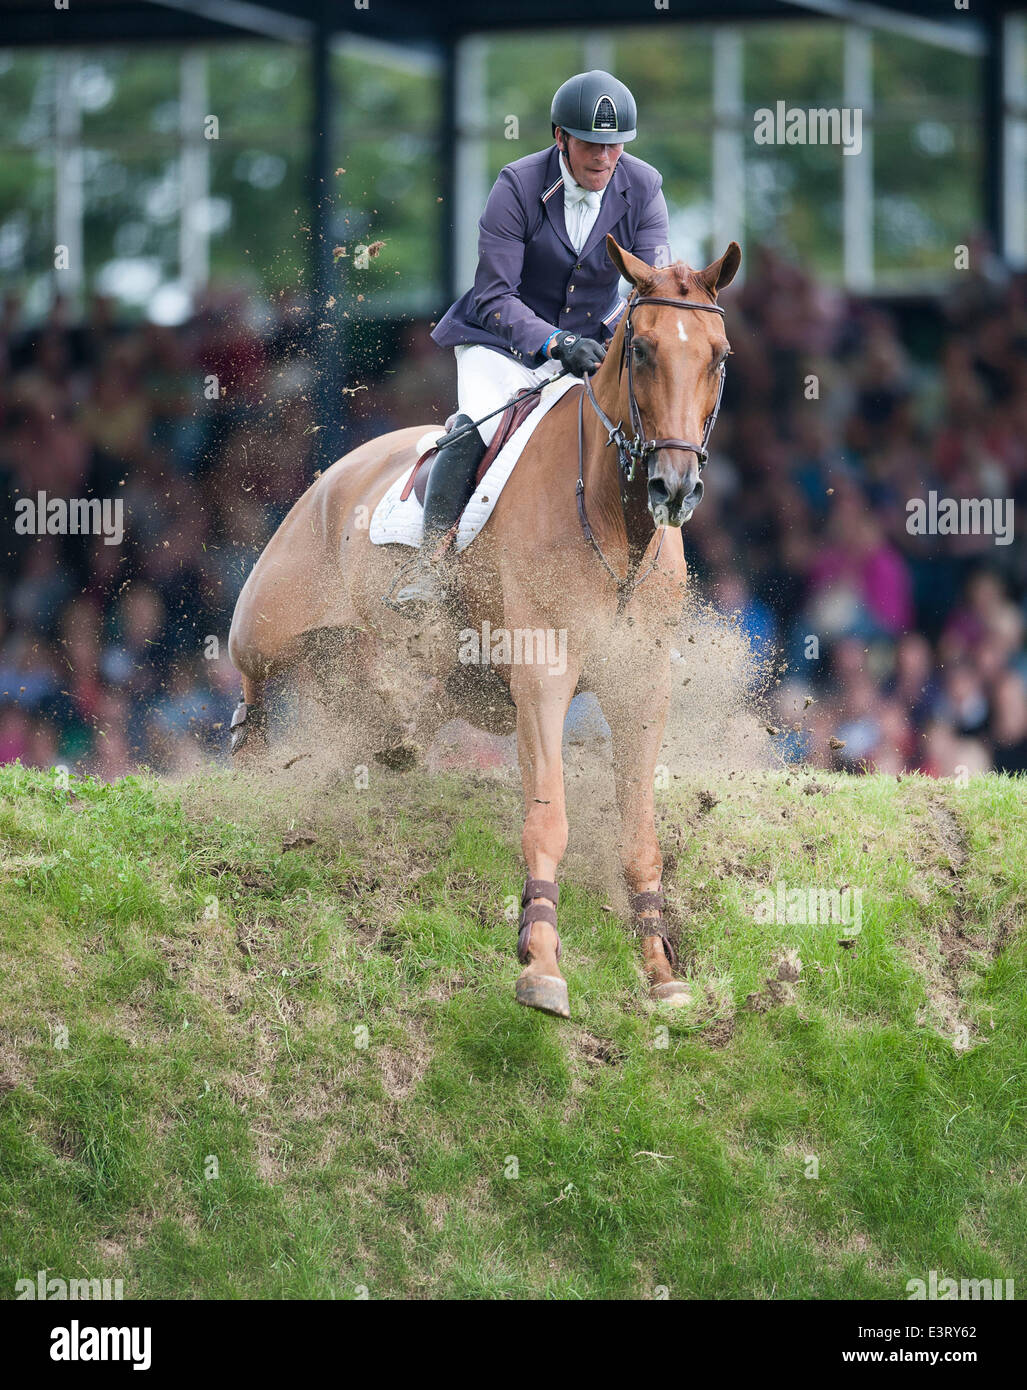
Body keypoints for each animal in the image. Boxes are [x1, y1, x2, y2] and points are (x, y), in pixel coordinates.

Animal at [227, 236, 739, 1023]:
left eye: (717, 356)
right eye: (642, 349)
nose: (674, 487)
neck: (615, 522)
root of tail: (339, 468)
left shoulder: (641, 685)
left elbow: (640, 837)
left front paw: (660, 973)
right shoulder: (543, 676)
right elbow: (547, 820)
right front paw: (540, 965)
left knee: (381, 706)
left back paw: (391, 739)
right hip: (266, 623)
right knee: (253, 690)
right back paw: (249, 764)